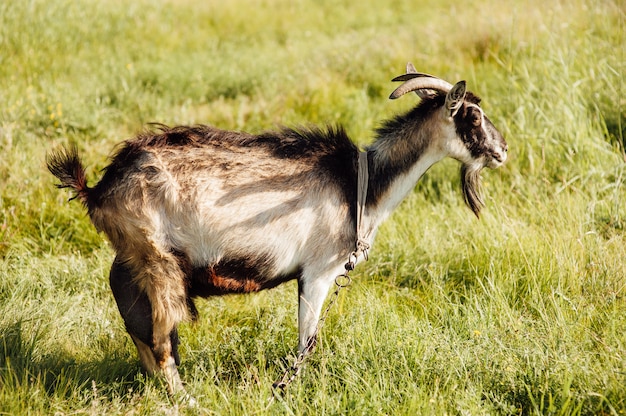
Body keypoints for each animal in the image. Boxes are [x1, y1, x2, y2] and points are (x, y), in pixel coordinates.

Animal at [47, 64, 508, 396]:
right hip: (158, 258)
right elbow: (308, 341)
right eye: (472, 115)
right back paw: (186, 399)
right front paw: (286, 390)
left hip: (130, 260)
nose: (503, 150)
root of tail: (100, 187)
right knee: (161, 339)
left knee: (138, 326)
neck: (361, 184)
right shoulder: (319, 271)